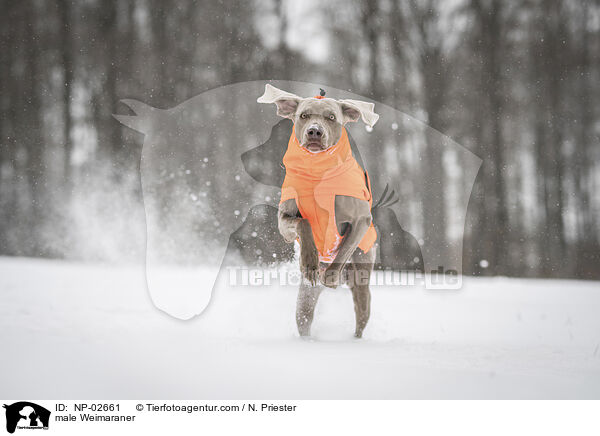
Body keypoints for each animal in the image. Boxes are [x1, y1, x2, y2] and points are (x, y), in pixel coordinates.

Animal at [258, 85, 380, 338]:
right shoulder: (284, 221)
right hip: (305, 300)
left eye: (331, 117)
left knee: (361, 314)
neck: (317, 172)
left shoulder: (361, 220)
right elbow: (303, 223)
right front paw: (310, 263)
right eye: (303, 115)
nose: (314, 132)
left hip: (363, 285)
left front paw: (330, 277)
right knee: (304, 318)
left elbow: (344, 249)